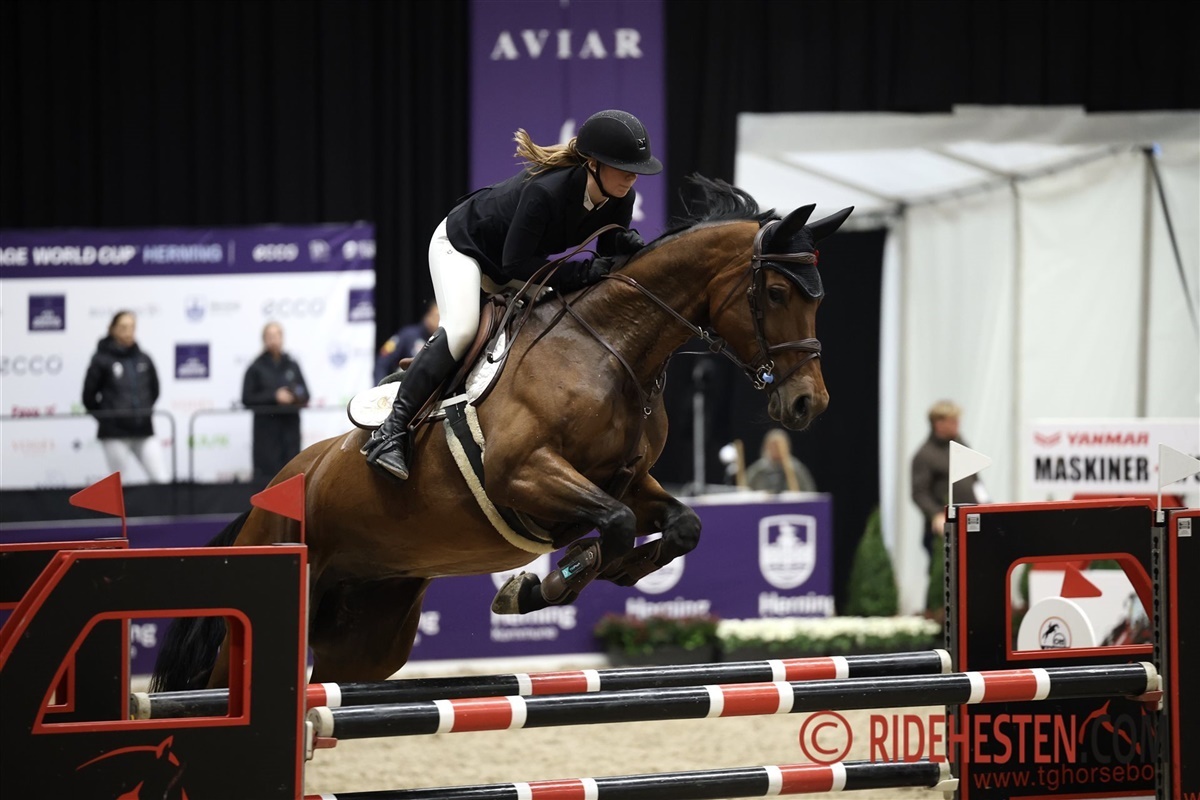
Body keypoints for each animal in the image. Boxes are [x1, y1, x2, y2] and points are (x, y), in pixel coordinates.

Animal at [151, 176, 852, 691]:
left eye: (818, 297)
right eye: (779, 291)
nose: (807, 403)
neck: (611, 348)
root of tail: (267, 493)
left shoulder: (628, 478)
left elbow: (680, 525)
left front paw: (575, 581)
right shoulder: (523, 472)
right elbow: (616, 524)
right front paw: (540, 585)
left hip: (366, 637)